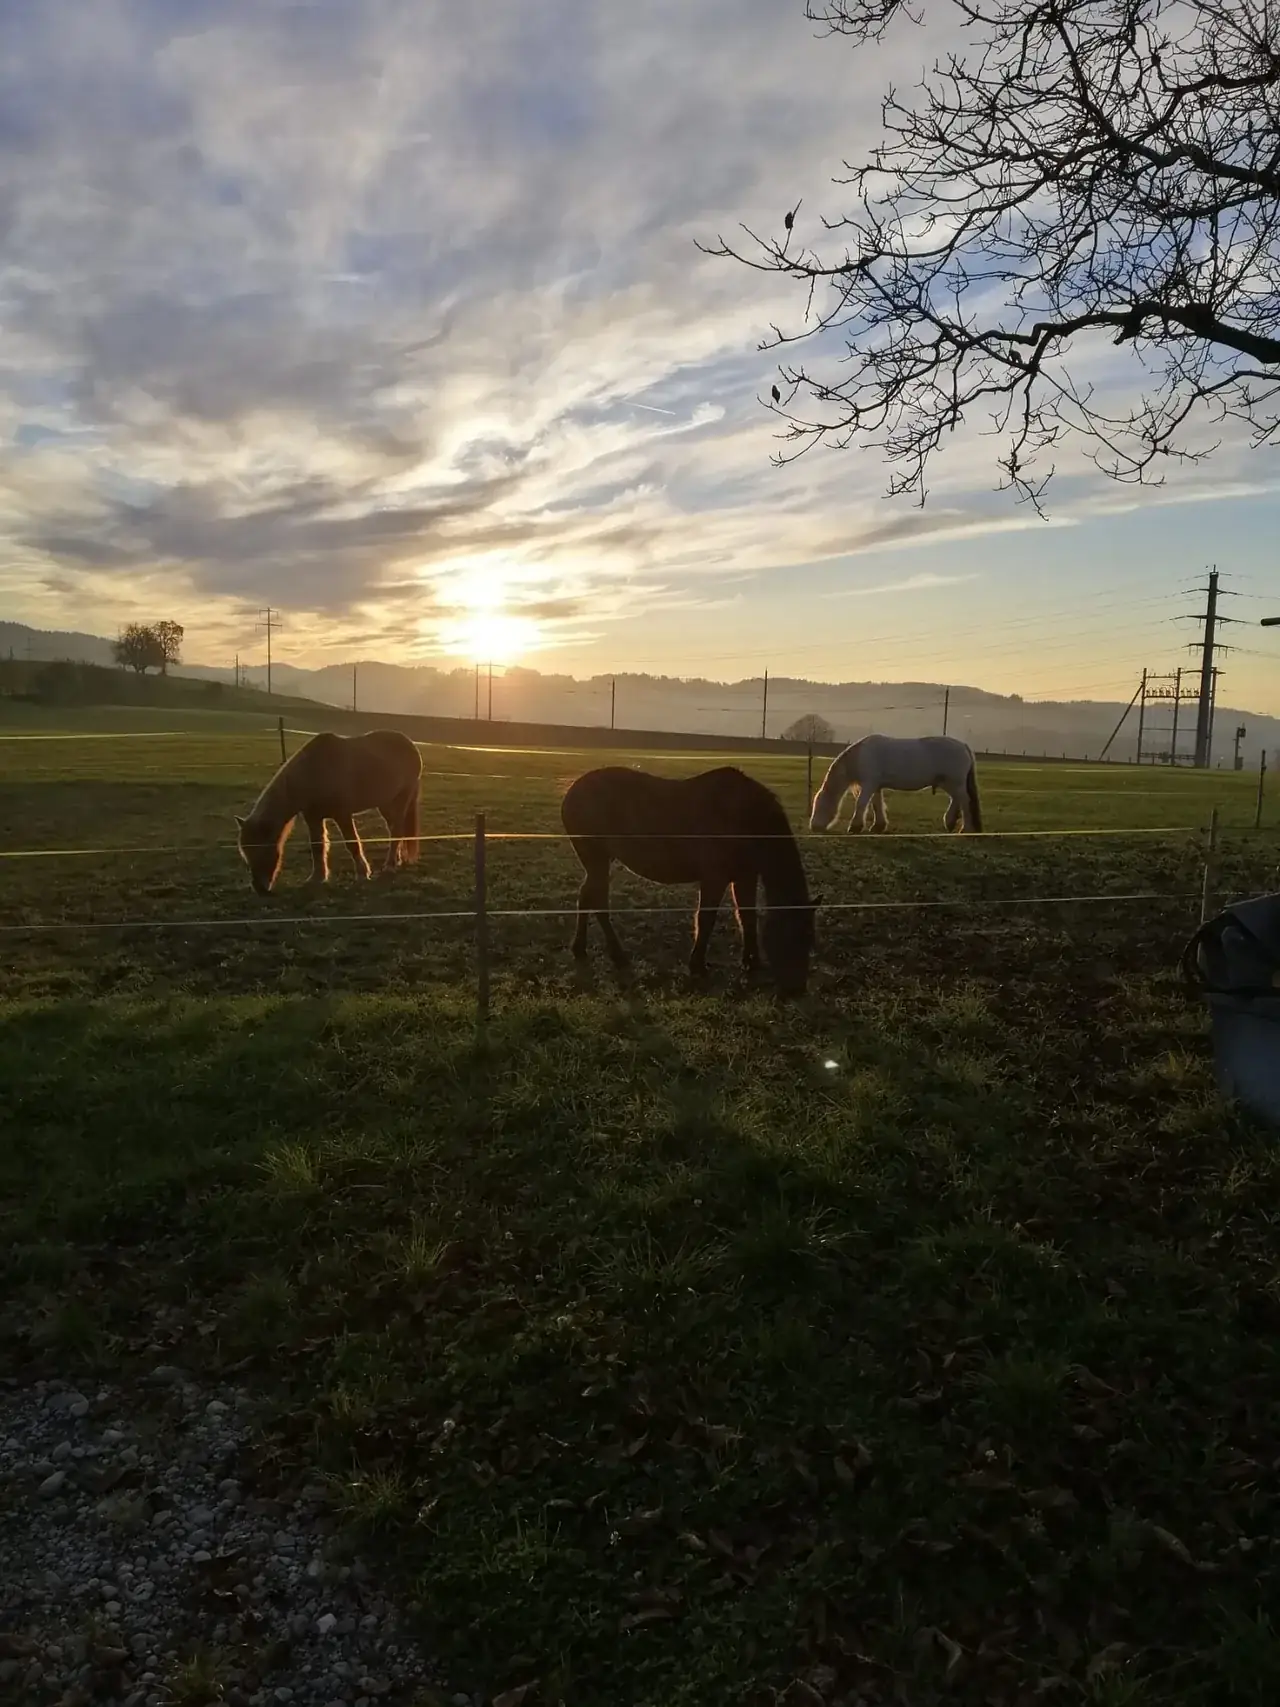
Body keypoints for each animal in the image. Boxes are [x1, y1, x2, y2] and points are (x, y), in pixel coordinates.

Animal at [236, 729, 423, 894]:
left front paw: (363, 874)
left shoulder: (342, 814)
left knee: (396, 830)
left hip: (402, 797)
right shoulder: (313, 817)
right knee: (395, 830)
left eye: (262, 850)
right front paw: (317, 878)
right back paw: (396, 860)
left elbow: (352, 843)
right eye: (245, 855)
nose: (260, 889)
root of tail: (410, 745)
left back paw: (389, 866)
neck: (313, 772)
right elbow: (317, 846)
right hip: (385, 803)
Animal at [560, 765, 818, 995]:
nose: (797, 990)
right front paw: (697, 965)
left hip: (599, 862)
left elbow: (747, 917)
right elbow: (706, 919)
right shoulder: (715, 878)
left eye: (809, 938)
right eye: (792, 936)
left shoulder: (745, 877)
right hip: (596, 860)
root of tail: (573, 790)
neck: (746, 817)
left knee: (586, 896)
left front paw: (751, 962)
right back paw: (617, 955)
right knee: (598, 901)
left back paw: (580, 948)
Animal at [810, 733, 982, 834]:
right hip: (947, 783)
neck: (860, 756)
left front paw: (855, 826)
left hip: (955, 783)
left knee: (965, 801)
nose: (813, 827)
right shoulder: (875, 786)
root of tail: (964, 746)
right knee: (956, 800)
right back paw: (950, 823)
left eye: (819, 806)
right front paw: (878, 826)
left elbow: (861, 804)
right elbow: (876, 805)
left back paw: (965, 829)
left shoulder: (869, 784)